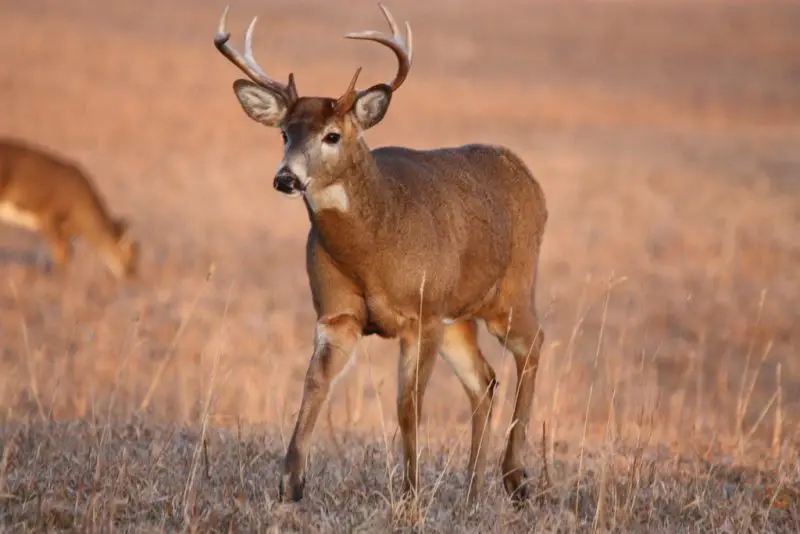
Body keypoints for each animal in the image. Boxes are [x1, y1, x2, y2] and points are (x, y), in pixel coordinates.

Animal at [0, 138, 140, 280]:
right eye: (130, 256)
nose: (132, 276)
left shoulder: (65, 230)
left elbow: (65, 253)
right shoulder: (47, 218)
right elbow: (60, 254)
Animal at [214, 3, 548, 505]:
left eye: (332, 135)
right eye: (284, 134)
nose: (286, 178)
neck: (373, 252)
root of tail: (528, 176)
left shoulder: (422, 313)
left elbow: (408, 404)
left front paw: (410, 492)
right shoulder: (338, 314)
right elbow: (314, 384)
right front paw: (291, 483)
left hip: (511, 291)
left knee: (532, 347)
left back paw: (515, 477)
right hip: (458, 317)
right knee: (485, 381)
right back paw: (472, 489)